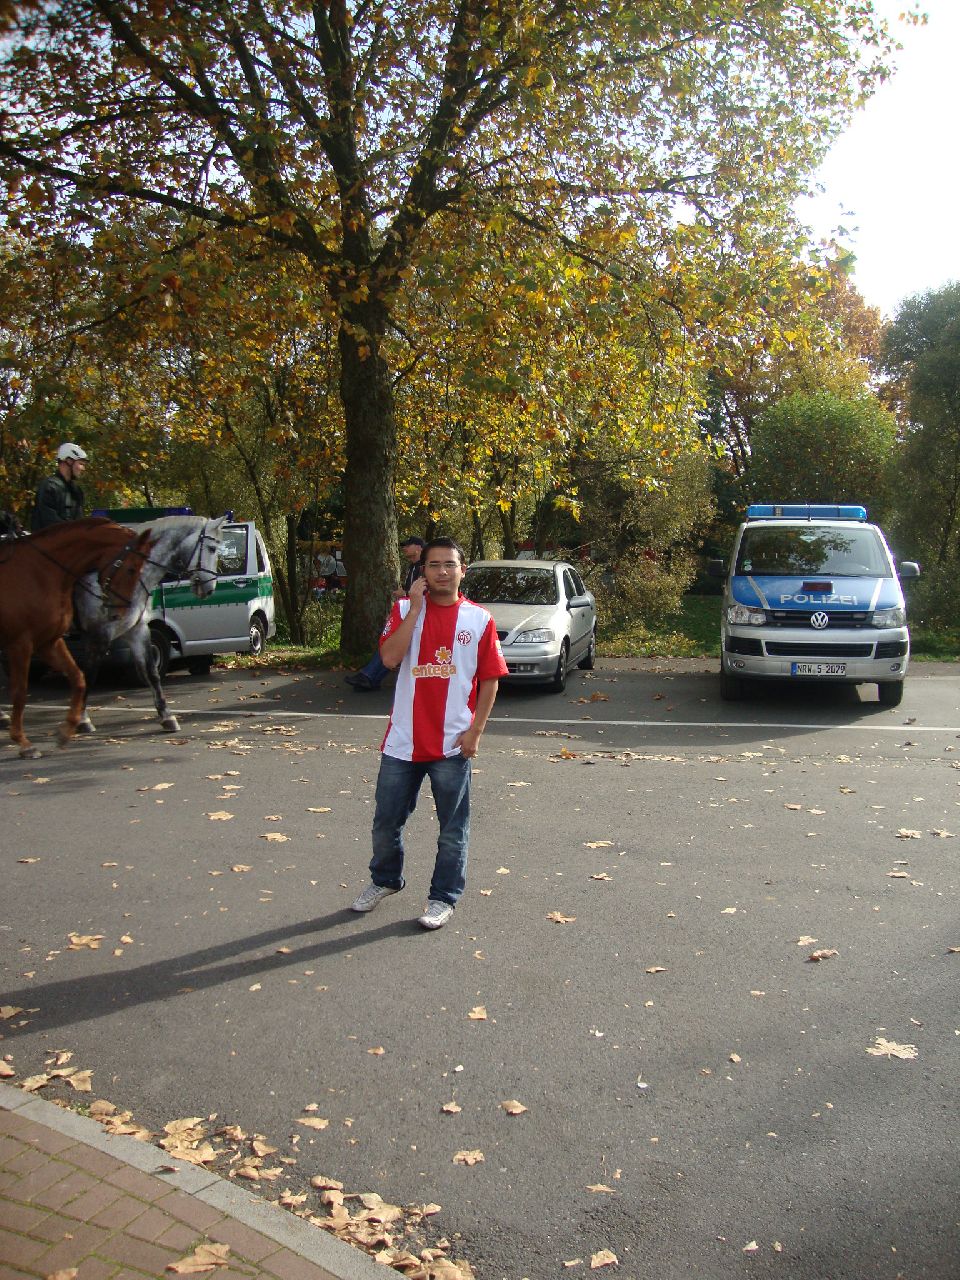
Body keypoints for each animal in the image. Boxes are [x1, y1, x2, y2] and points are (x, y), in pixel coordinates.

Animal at [0, 519, 152, 752]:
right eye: (131, 569)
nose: (120, 612)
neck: (38, 572)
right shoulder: (20, 643)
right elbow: (20, 691)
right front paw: (23, 742)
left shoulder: (49, 642)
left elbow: (78, 678)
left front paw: (67, 729)